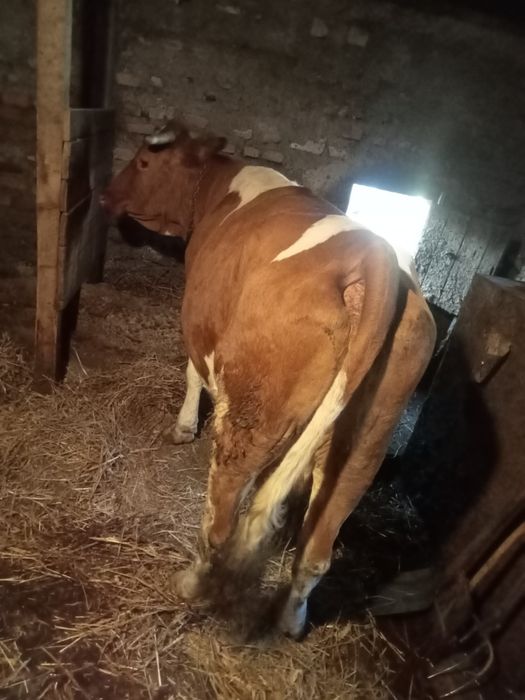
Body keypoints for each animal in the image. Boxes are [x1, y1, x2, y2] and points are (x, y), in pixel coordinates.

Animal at [100, 123, 436, 639]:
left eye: (142, 162)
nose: (105, 194)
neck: (221, 189)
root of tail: (374, 257)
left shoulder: (199, 320)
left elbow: (192, 370)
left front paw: (183, 427)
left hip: (253, 412)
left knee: (223, 516)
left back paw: (192, 583)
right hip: (365, 445)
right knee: (316, 553)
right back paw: (291, 620)